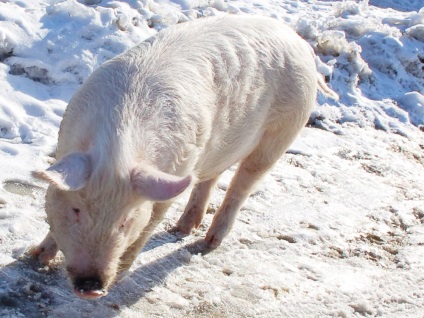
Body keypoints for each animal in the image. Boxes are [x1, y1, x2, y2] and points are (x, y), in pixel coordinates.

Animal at [30, 14, 338, 298]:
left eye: (125, 220)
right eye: (76, 210)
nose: (92, 287)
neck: (115, 148)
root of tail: (301, 43)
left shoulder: (172, 176)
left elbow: (151, 222)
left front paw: (122, 273)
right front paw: (35, 256)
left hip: (284, 129)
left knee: (244, 184)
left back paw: (209, 242)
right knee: (212, 176)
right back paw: (182, 229)